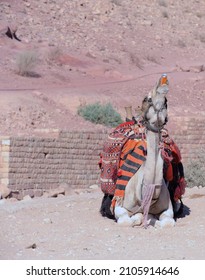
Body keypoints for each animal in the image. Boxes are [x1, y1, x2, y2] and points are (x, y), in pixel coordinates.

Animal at [113, 76, 175, 228]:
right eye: (147, 99)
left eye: (166, 101)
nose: (163, 80)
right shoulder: (119, 207)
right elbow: (127, 220)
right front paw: (141, 218)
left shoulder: (169, 210)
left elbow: (167, 222)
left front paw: (153, 220)